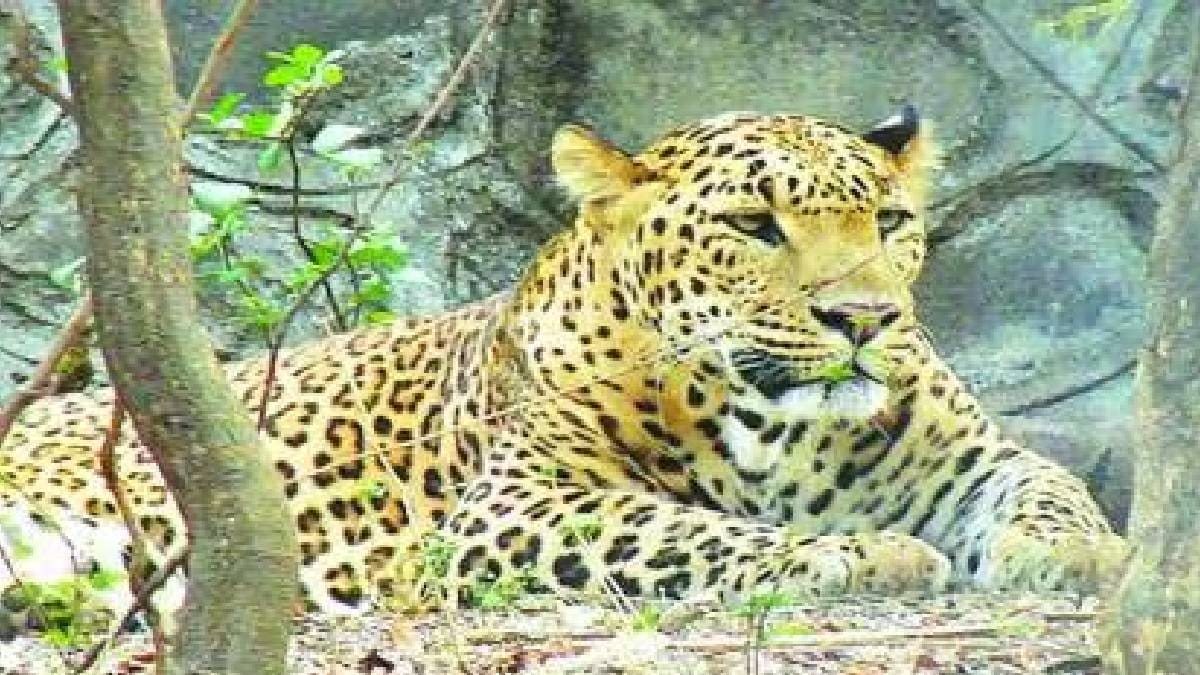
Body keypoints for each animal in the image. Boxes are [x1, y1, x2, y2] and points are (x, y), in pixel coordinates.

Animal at [0, 107, 1125, 629]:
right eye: (754, 225)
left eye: (889, 222)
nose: (867, 318)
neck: (782, 425)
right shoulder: (518, 505)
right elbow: (692, 531)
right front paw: (859, 553)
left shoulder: (972, 458)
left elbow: (1052, 485)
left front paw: (1092, 556)